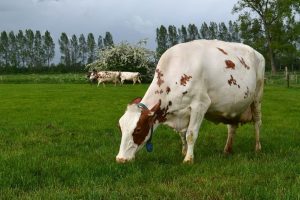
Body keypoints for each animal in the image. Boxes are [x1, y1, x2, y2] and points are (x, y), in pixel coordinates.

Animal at [116, 39, 264, 163]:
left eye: (138, 129)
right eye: (120, 127)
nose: (120, 159)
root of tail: (257, 52)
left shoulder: (200, 105)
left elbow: (191, 134)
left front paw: (188, 159)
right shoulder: (181, 112)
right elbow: (182, 134)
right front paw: (184, 151)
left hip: (257, 97)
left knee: (257, 122)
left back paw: (257, 148)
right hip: (233, 106)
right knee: (232, 127)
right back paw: (227, 149)